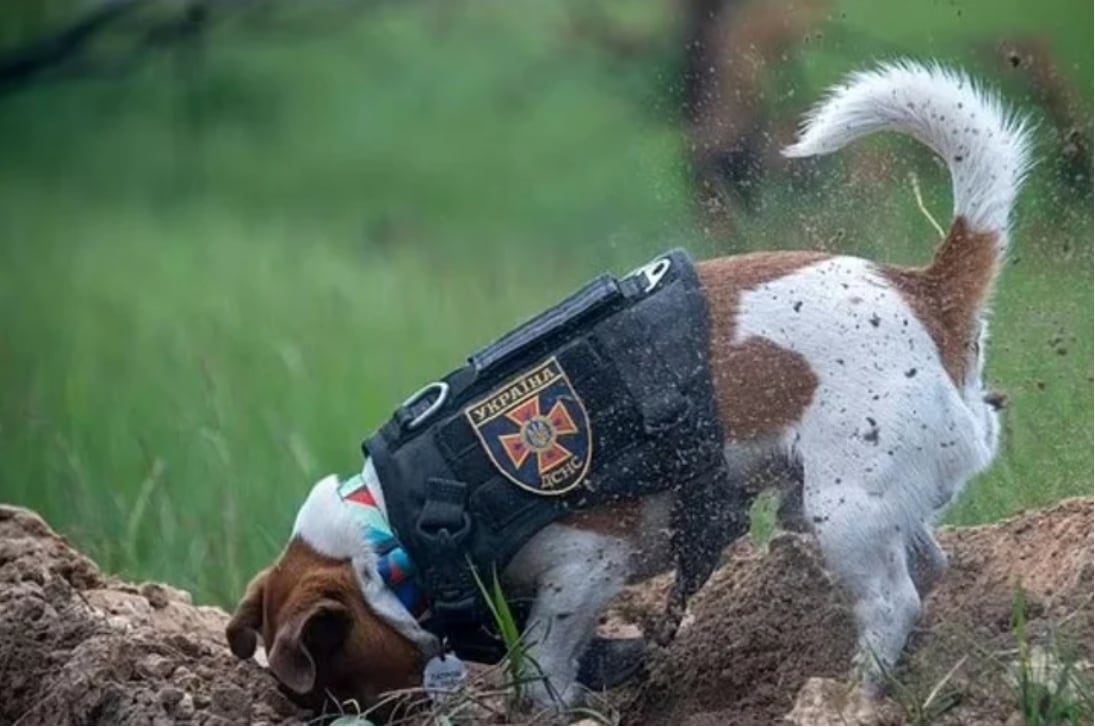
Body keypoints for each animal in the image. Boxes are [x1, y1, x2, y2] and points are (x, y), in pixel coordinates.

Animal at [226, 62, 1029, 709]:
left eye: (333, 688)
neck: (393, 531)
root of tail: (926, 291)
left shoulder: (585, 566)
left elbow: (542, 664)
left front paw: (554, 704)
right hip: (857, 502)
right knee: (927, 569)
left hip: (846, 509)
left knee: (892, 602)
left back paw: (856, 687)